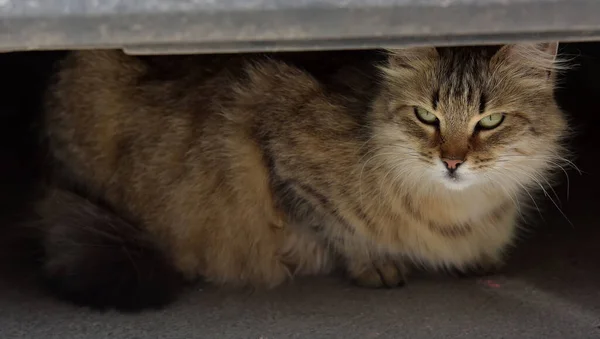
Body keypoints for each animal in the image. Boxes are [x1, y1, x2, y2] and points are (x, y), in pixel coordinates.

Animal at [35, 43, 568, 312]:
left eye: (490, 121)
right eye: (425, 116)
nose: (452, 163)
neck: (458, 212)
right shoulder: (283, 151)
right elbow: (340, 229)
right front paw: (377, 266)